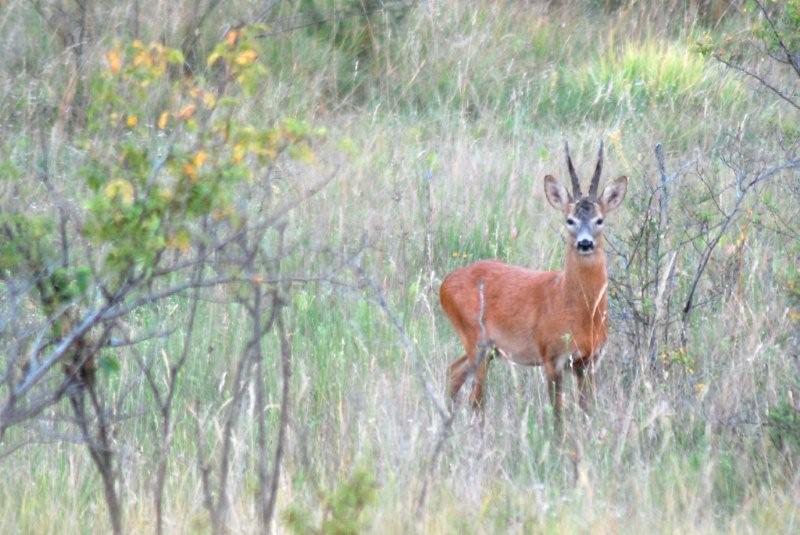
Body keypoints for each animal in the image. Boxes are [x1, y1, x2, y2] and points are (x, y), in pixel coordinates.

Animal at [440, 142, 628, 432]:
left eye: (600, 219)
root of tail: (444, 285)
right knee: (476, 398)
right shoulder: (551, 356)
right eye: (569, 219)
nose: (585, 243)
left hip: (486, 348)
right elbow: (558, 414)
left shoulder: (588, 361)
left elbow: (586, 412)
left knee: (454, 372)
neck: (580, 312)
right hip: (476, 338)